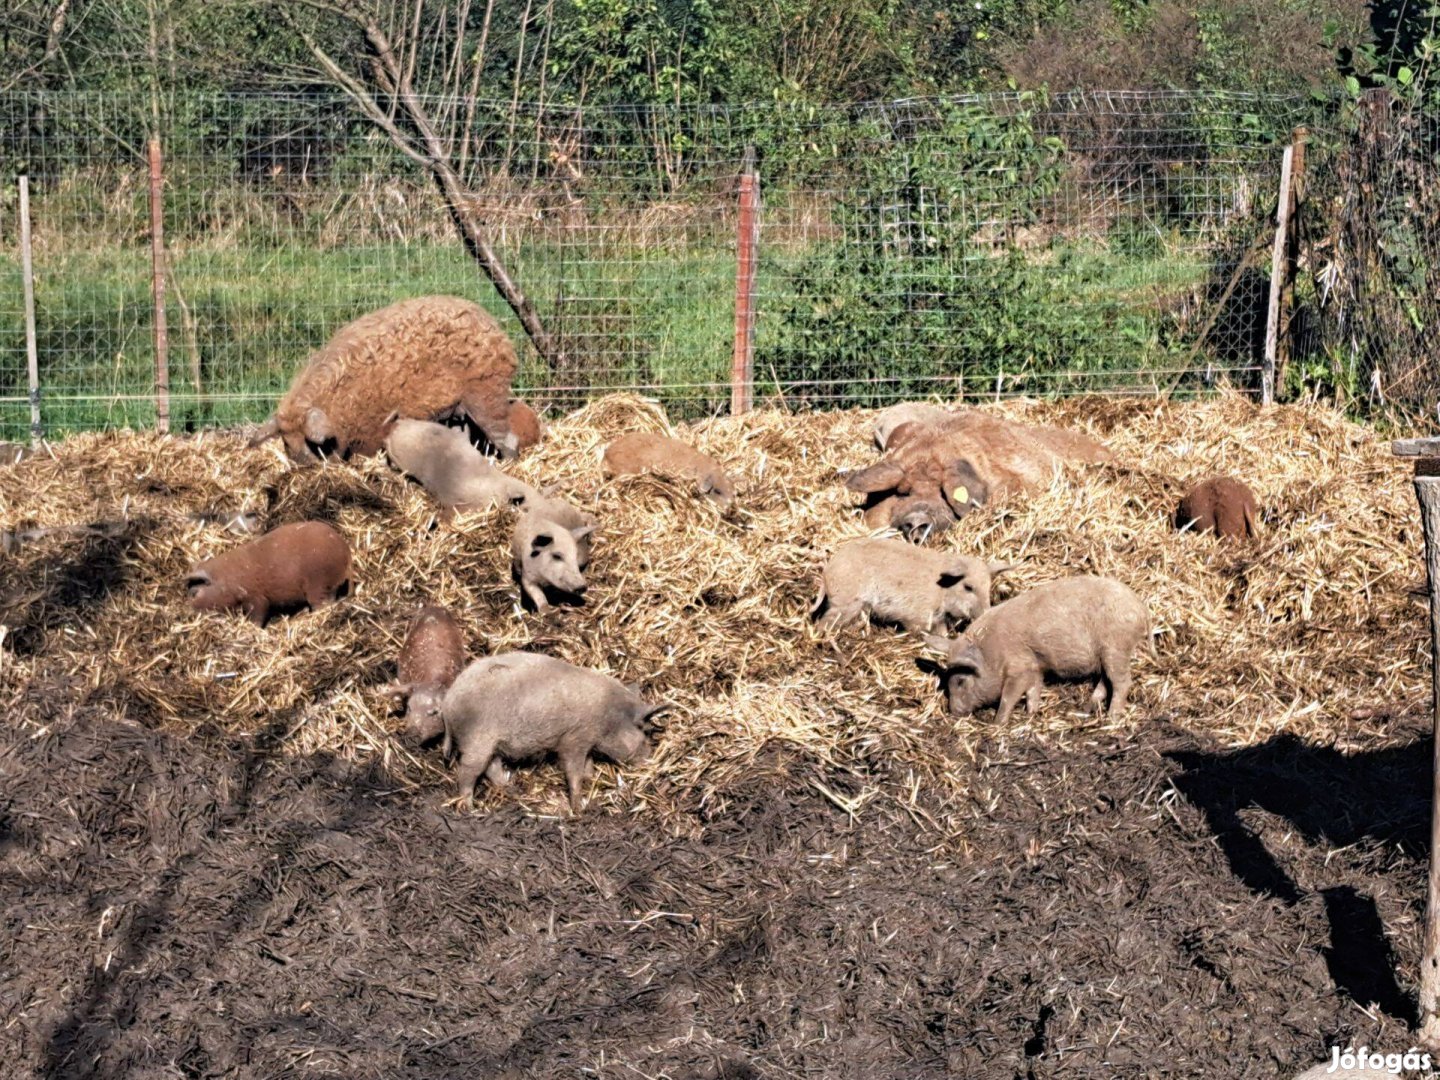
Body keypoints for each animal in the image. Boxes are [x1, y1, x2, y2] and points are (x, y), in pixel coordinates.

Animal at [187, 521, 352, 630]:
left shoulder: (256, 598)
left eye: (195, 593)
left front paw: (253, 628)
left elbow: (258, 614)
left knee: (324, 604)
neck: (226, 580)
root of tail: (346, 554)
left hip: (318, 583)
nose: (189, 612)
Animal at [437, 650, 668, 812]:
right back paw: (469, 808)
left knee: (491, 767)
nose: (650, 758)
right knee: (467, 771)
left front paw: (590, 779)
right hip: (477, 739)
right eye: (644, 733)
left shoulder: (586, 741)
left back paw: (513, 789)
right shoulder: (574, 739)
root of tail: (447, 704)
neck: (609, 717)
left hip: (490, 744)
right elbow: (573, 770)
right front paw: (578, 808)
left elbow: (587, 764)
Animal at [812, 538, 1013, 633]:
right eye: (968, 587)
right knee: (823, 623)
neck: (942, 592)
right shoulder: (918, 617)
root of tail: (826, 573)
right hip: (847, 602)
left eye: (988, 588)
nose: (987, 613)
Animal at [927, 576, 1152, 728]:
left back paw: (1112, 718)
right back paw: (1086, 709)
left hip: (1116, 647)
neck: (991, 653)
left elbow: (1009, 696)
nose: (954, 712)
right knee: (1106, 681)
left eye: (960, 681)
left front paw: (997, 724)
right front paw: (1031, 713)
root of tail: (1142, 609)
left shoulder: (1019, 668)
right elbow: (1034, 689)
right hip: (1107, 655)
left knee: (1122, 682)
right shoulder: (1034, 666)